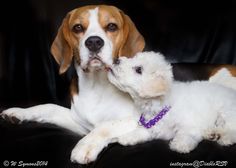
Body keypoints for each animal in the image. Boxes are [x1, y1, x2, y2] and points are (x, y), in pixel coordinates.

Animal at [1, 4, 236, 165]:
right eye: (78, 28)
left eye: (111, 26)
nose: (94, 42)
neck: (96, 87)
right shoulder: (79, 123)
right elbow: (49, 107)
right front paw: (18, 113)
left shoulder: (135, 120)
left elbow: (105, 126)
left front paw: (85, 146)